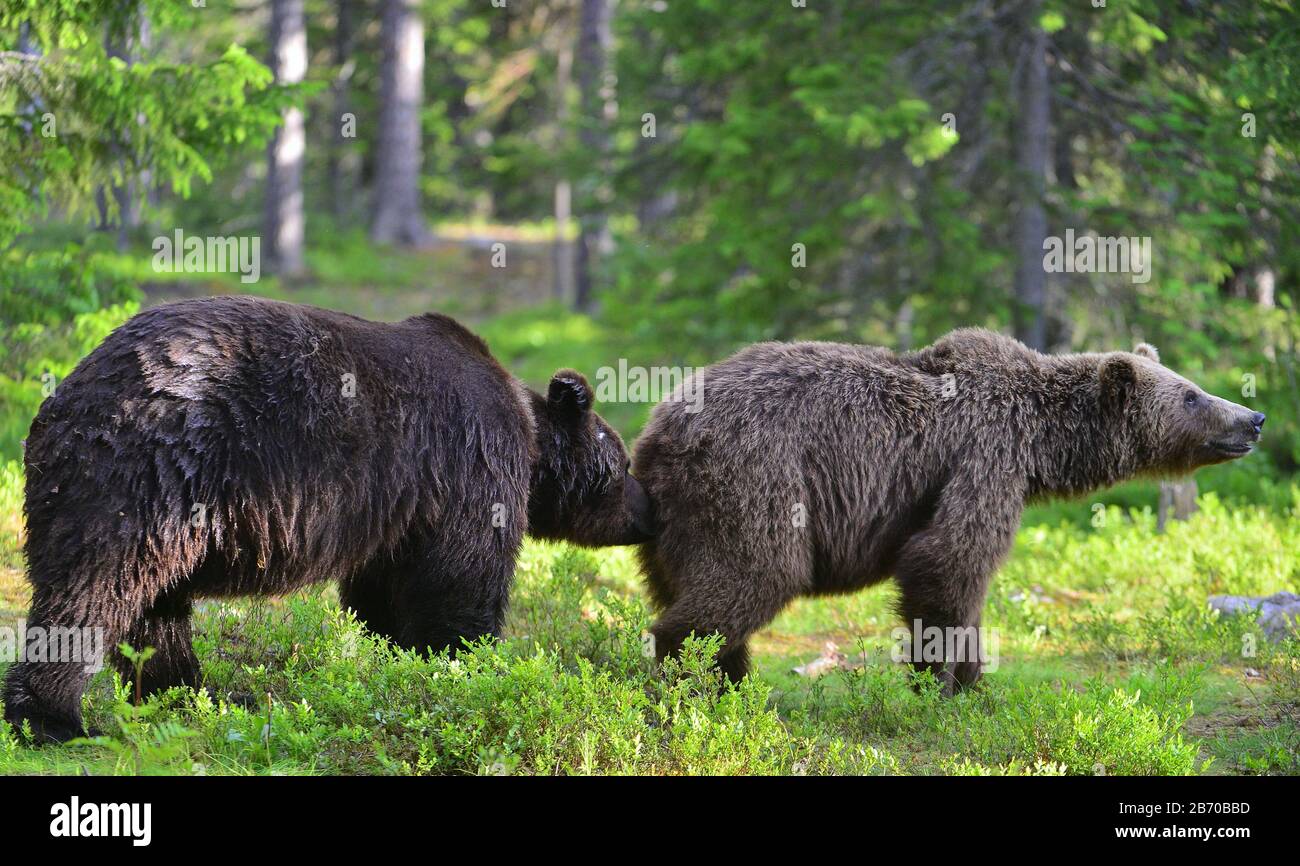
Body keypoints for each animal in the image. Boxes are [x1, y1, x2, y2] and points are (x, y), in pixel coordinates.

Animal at [3, 295, 653, 743]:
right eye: (622, 462)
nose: (646, 509)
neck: (531, 440)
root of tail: (62, 400)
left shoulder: (405, 508)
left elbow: (384, 590)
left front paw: (403, 658)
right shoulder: (470, 465)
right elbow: (463, 578)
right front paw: (467, 661)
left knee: (155, 608)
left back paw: (187, 693)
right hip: (143, 478)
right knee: (93, 591)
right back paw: (52, 719)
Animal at [632, 328, 1265, 689]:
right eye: (1191, 394)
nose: (1253, 418)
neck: (1042, 444)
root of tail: (656, 430)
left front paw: (973, 681)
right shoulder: (983, 457)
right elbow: (946, 561)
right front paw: (941, 682)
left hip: (681, 524)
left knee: (697, 588)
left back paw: (730, 682)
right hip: (758, 478)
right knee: (753, 576)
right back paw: (685, 675)